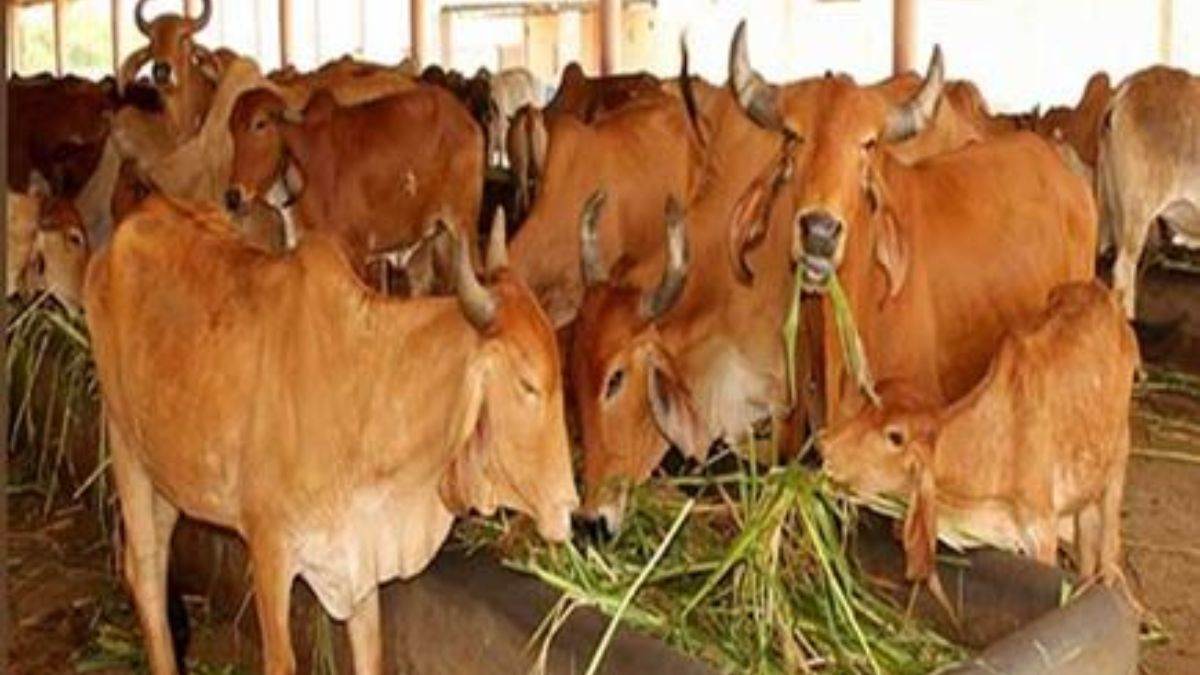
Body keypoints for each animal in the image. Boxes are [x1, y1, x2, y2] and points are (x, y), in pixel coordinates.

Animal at [84, 196, 577, 675]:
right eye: (527, 384)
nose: (568, 505)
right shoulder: (268, 545)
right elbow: (281, 661)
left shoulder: (359, 557)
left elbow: (371, 655)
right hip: (126, 449)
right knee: (146, 573)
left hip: (168, 475)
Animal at [225, 83, 483, 288]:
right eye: (231, 130)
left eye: (260, 123)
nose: (233, 196)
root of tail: (466, 119)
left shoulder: (356, 252)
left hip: (463, 225)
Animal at [819, 281, 1136, 596]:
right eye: (866, 407)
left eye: (895, 437)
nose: (825, 445)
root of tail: (1103, 292)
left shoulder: (1042, 530)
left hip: (1118, 458)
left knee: (1108, 546)